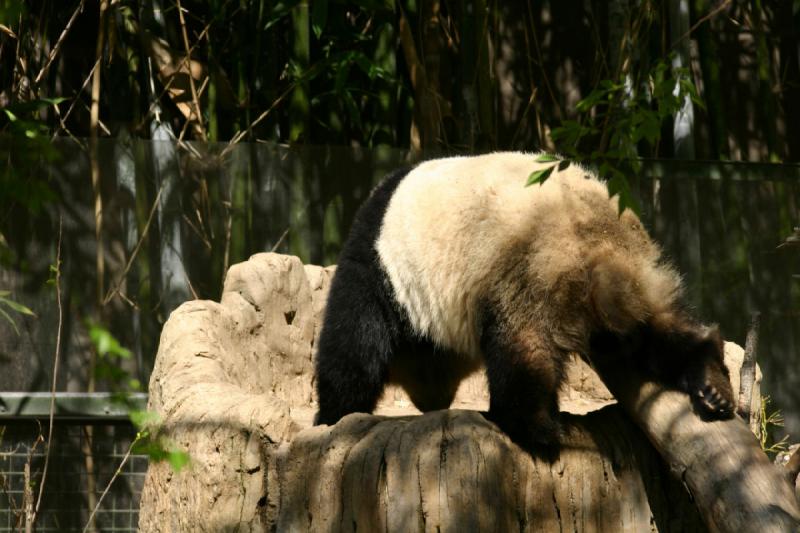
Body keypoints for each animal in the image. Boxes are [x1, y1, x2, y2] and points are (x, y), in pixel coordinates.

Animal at [310, 151, 732, 448]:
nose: (432, 402)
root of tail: (592, 243)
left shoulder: (379, 265)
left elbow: (352, 344)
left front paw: (331, 417)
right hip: (637, 267)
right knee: (661, 326)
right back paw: (711, 384)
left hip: (527, 269)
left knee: (523, 349)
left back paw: (529, 425)